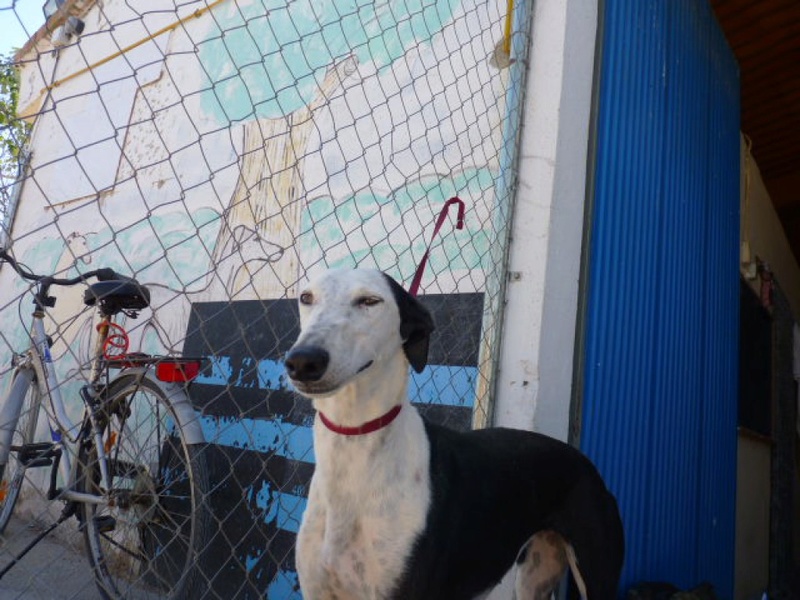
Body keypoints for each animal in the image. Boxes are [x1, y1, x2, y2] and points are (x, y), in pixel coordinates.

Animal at [286, 270, 624, 596]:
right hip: (535, 576)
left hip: (595, 573)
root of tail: (585, 463)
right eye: (306, 298)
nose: (302, 361)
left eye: (370, 301)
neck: (355, 441)